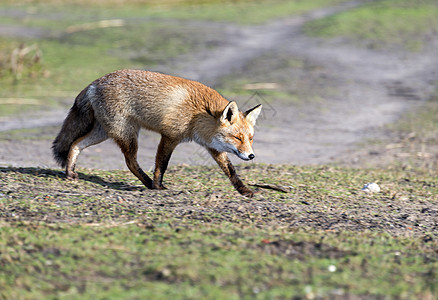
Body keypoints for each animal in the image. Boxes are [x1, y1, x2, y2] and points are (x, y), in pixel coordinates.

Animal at [53, 70, 262, 197]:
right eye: (237, 137)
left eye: (250, 138)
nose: (251, 156)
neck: (199, 113)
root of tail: (95, 83)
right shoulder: (169, 136)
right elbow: (162, 165)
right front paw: (158, 186)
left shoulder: (213, 147)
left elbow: (230, 170)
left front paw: (244, 190)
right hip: (127, 134)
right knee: (130, 162)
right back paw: (147, 183)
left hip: (103, 132)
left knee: (75, 144)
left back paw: (70, 172)